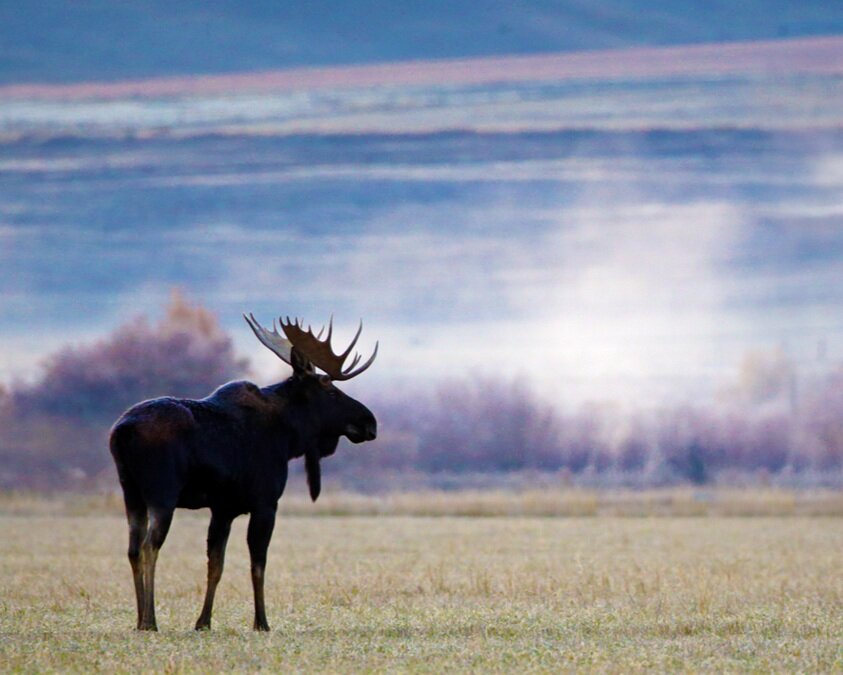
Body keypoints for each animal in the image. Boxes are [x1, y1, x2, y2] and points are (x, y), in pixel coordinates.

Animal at [109, 314, 380, 632]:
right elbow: (258, 565)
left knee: (133, 549)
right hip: (162, 493)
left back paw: (139, 619)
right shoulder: (265, 503)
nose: (370, 422)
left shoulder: (223, 508)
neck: (290, 438)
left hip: (130, 493)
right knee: (150, 546)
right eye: (331, 390)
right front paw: (261, 622)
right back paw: (150, 620)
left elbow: (216, 564)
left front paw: (203, 622)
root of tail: (122, 432)